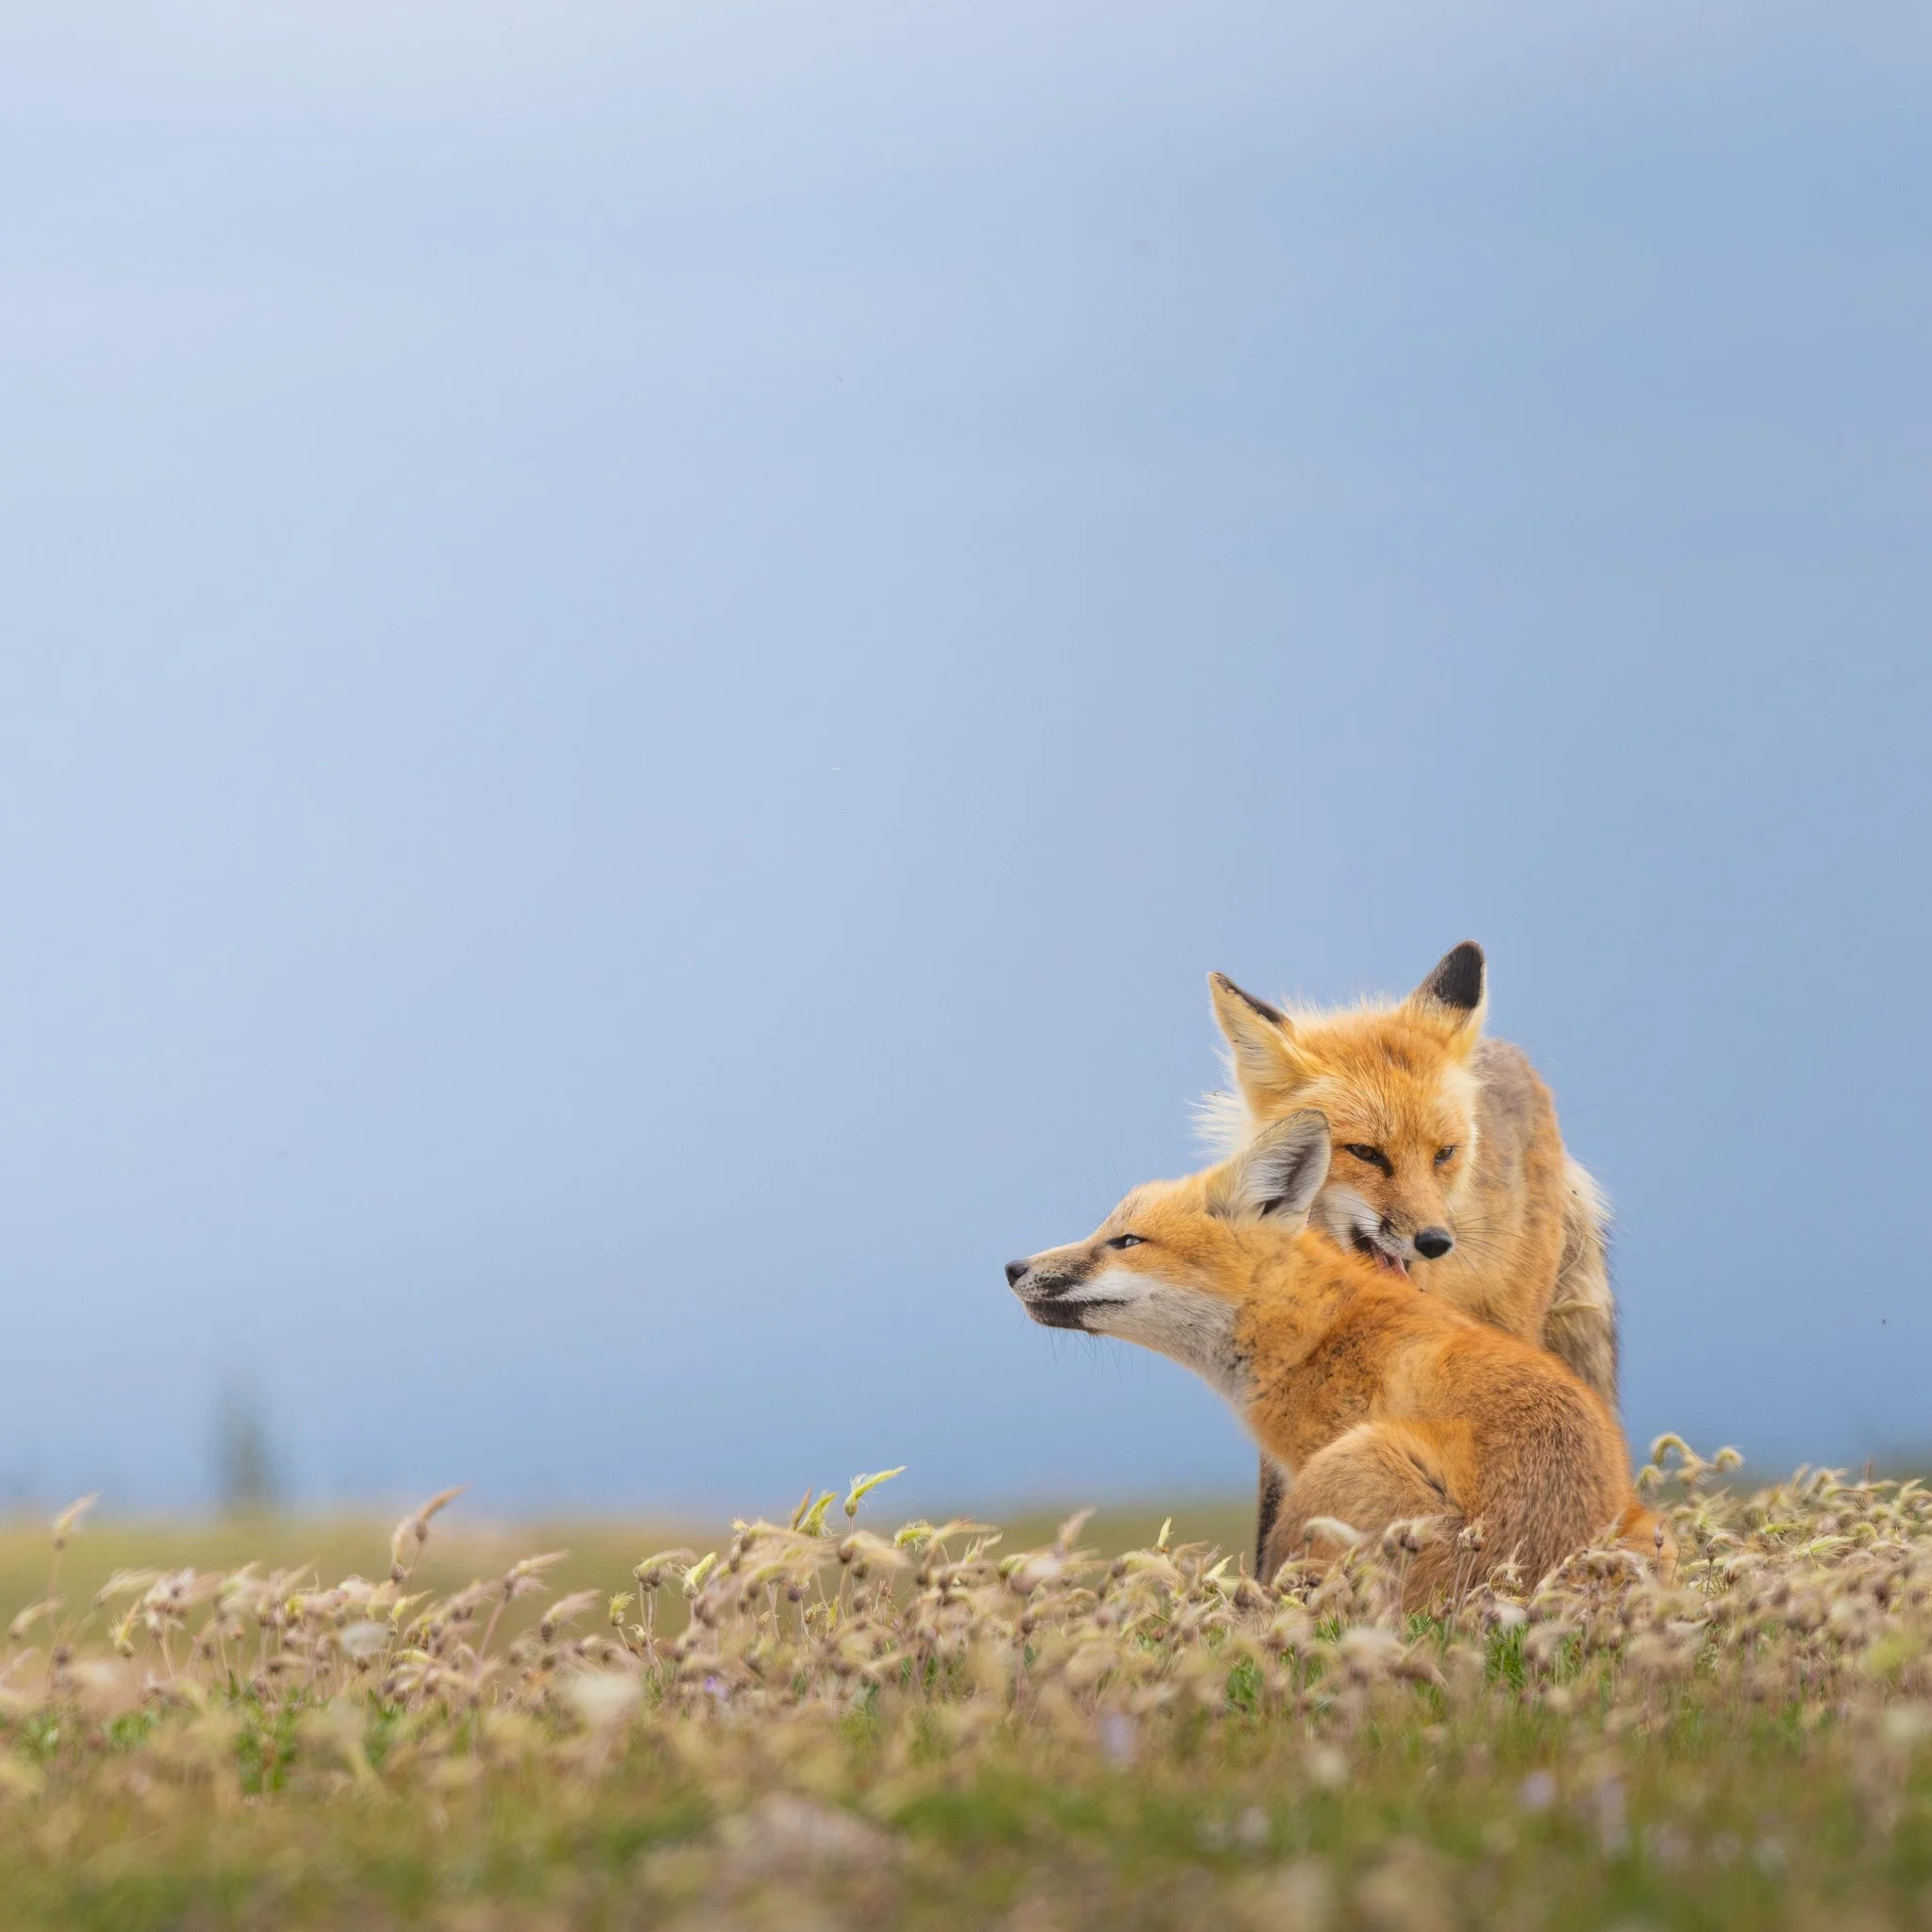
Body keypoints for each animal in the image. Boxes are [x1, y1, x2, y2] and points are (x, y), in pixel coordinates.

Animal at [1004, 1111, 1667, 1600]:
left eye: (1126, 1242)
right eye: (1106, 1233)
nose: (1013, 1268)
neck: (1313, 1331)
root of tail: (1522, 1584)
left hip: (1348, 1464)